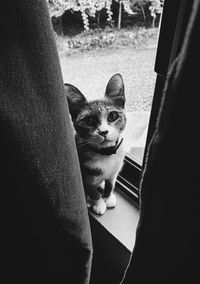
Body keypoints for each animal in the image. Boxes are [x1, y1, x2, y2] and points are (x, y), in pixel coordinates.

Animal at [65, 73, 126, 215]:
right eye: (89, 121)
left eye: (113, 115)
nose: (103, 132)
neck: (105, 153)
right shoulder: (84, 174)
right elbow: (91, 190)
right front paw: (98, 203)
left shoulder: (114, 170)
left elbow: (111, 184)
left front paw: (107, 197)